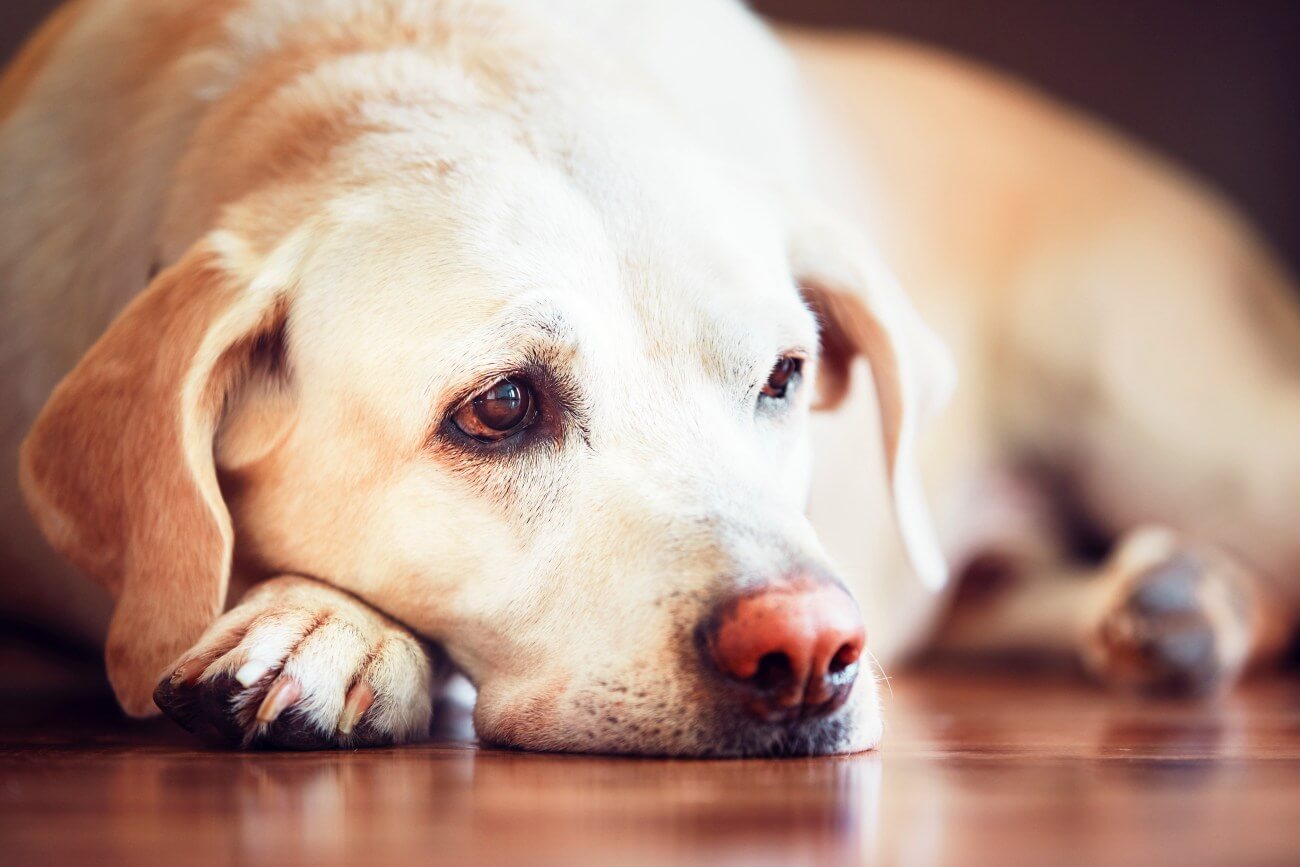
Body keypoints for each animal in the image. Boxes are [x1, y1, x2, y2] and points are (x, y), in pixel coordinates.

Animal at [0, 0, 1294, 753]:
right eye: (499, 407)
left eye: (784, 374)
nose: (809, 650)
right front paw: (326, 623)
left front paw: (329, 628)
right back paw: (1170, 605)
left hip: (1188, 438)